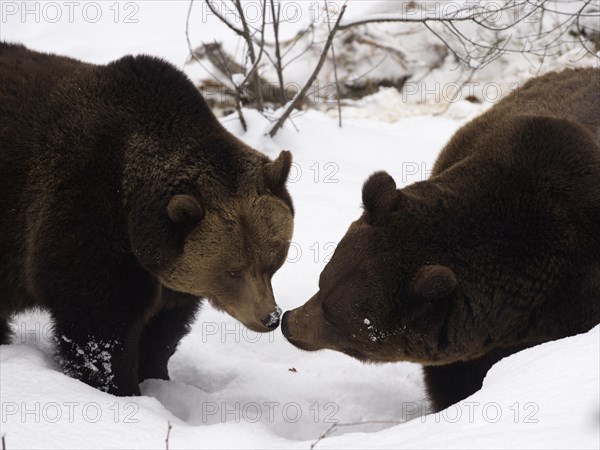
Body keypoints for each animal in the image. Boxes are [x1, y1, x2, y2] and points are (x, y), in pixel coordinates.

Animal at [0, 42, 294, 394]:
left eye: (273, 261)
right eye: (233, 271)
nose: (270, 317)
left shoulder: (168, 272)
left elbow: (164, 328)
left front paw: (157, 375)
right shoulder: (83, 213)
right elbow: (99, 324)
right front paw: (121, 387)